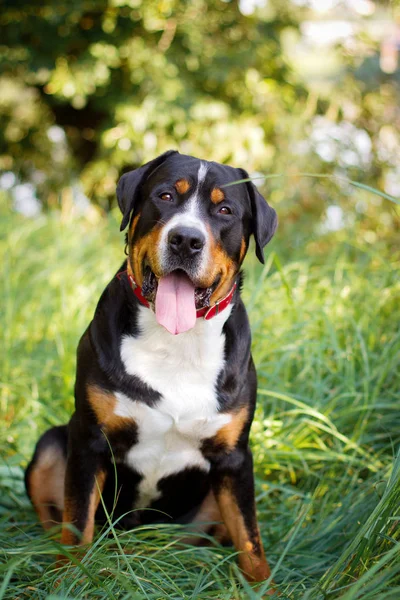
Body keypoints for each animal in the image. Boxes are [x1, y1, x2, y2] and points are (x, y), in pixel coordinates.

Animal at [25, 151, 278, 584]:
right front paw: (68, 578)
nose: (186, 239)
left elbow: (250, 539)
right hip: (51, 444)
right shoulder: (89, 440)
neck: (176, 343)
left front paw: (262, 587)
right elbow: (77, 523)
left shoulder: (234, 460)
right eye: (165, 196)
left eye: (224, 210)